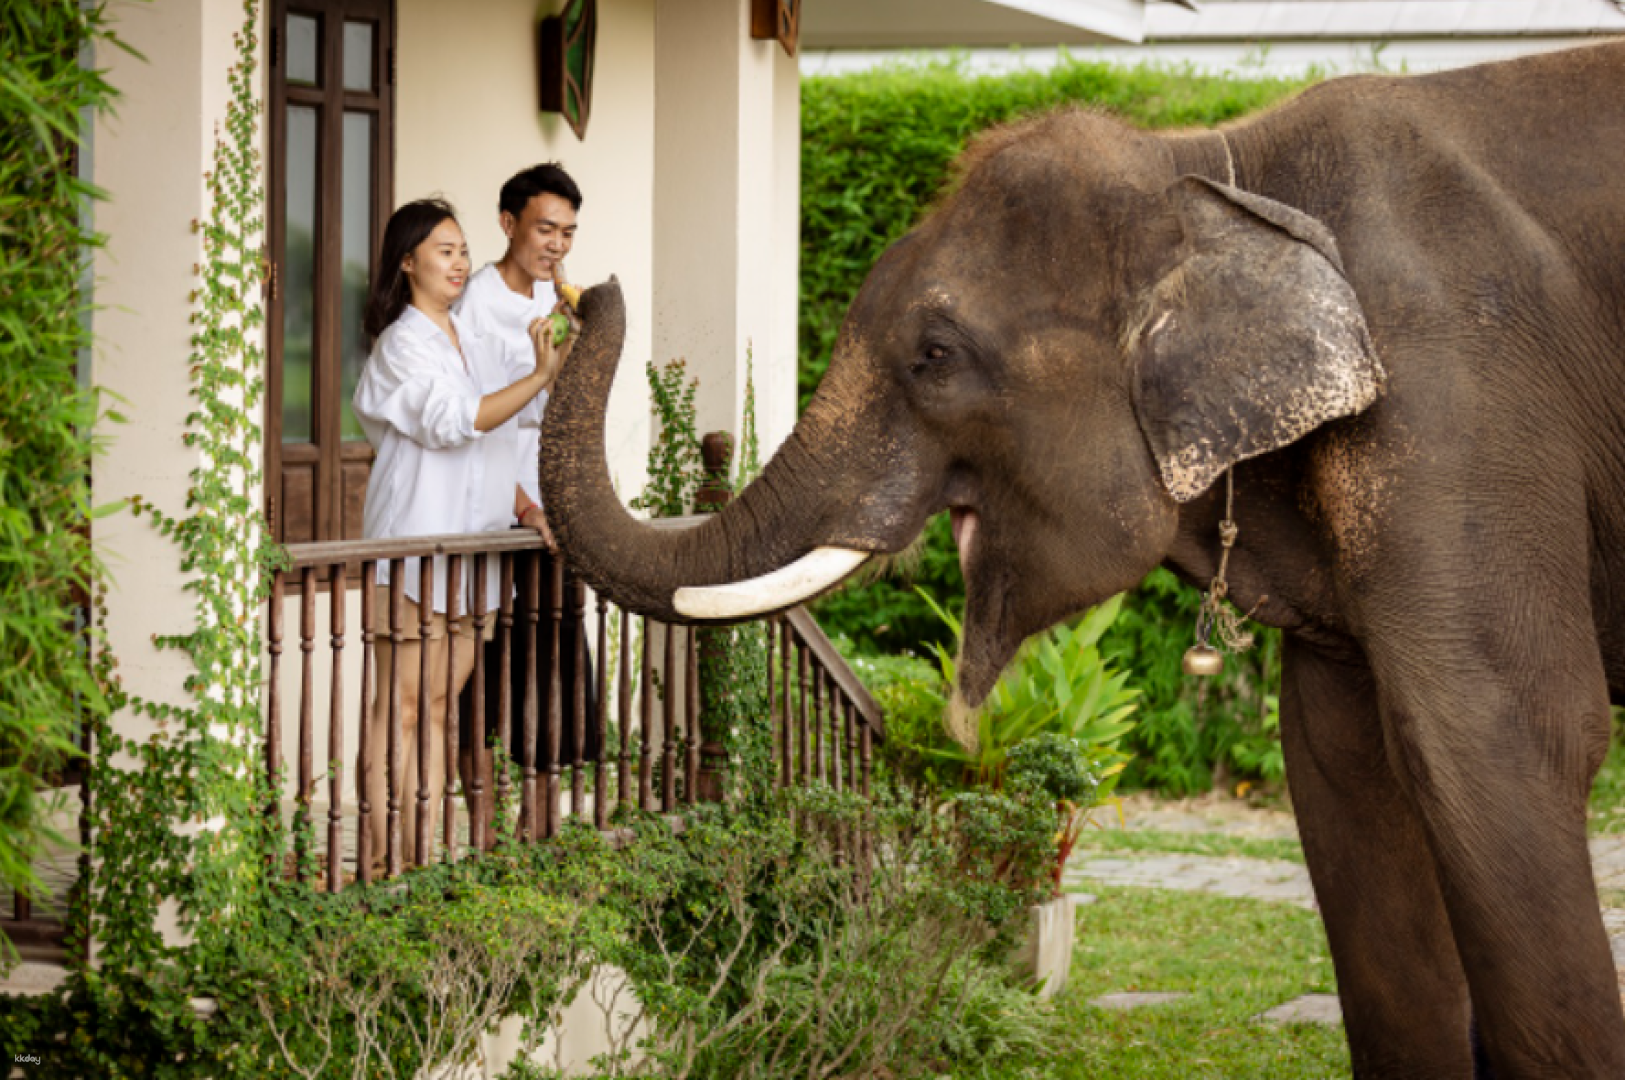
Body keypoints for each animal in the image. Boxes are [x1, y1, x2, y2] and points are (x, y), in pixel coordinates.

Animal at [541, 41, 1625, 1078]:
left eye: (933, 354)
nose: (583, 283)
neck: (1209, 172)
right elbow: (1340, 760)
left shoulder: (1457, 395)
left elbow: (1497, 730)